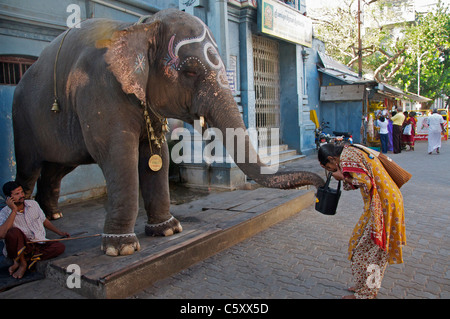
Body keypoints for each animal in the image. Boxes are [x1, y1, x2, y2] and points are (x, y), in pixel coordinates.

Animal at [12, 8, 324, 256]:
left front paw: (169, 230)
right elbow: (118, 153)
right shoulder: (99, 90)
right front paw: (121, 248)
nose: (321, 186)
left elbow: (157, 152)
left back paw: (53, 214)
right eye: (189, 72)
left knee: (58, 168)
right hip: (21, 116)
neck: (139, 26)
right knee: (30, 168)